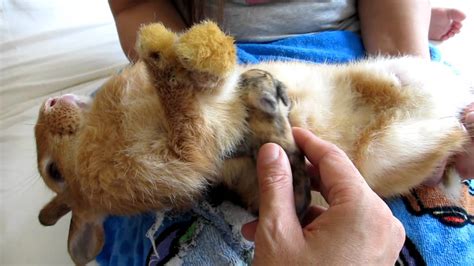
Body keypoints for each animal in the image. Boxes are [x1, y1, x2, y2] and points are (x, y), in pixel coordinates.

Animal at [35, 21, 472, 264]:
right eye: (54, 172)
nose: (48, 103)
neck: (103, 138)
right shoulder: (180, 155)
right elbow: (182, 106)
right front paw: (164, 51)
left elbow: (193, 81)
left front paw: (180, 45)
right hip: (389, 151)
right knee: (452, 134)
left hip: (393, 75)